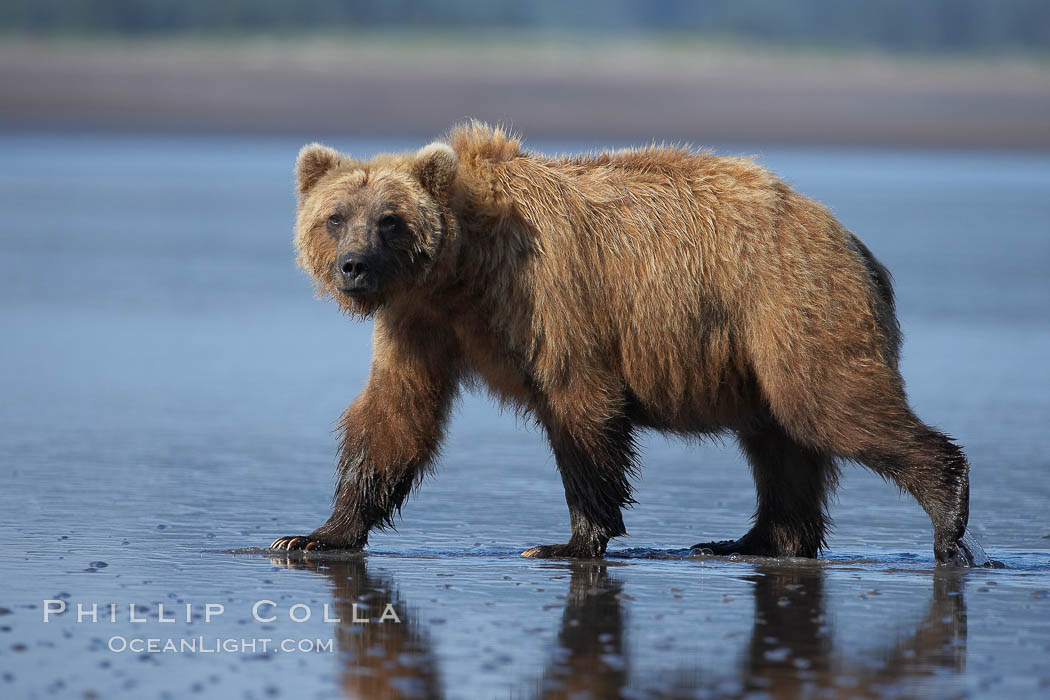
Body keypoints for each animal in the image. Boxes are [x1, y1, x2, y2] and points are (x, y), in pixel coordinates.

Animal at [270, 123, 974, 566]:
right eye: (335, 217)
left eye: (389, 220)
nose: (354, 266)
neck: (463, 273)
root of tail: (848, 236)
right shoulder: (421, 324)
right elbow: (395, 416)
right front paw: (315, 534)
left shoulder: (548, 296)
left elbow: (579, 406)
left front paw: (569, 541)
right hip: (755, 344)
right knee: (779, 439)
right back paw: (751, 540)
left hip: (789, 303)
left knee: (827, 404)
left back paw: (947, 514)